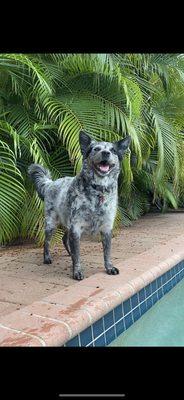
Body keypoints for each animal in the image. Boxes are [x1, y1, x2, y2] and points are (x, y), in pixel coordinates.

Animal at [28, 133, 131, 280]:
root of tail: (50, 183)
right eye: (96, 149)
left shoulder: (106, 228)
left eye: (113, 150)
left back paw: (69, 254)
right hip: (51, 224)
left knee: (64, 239)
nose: (105, 153)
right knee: (47, 242)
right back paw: (47, 258)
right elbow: (77, 257)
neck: (98, 190)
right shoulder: (76, 228)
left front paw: (109, 268)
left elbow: (107, 253)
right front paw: (77, 271)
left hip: (67, 223)